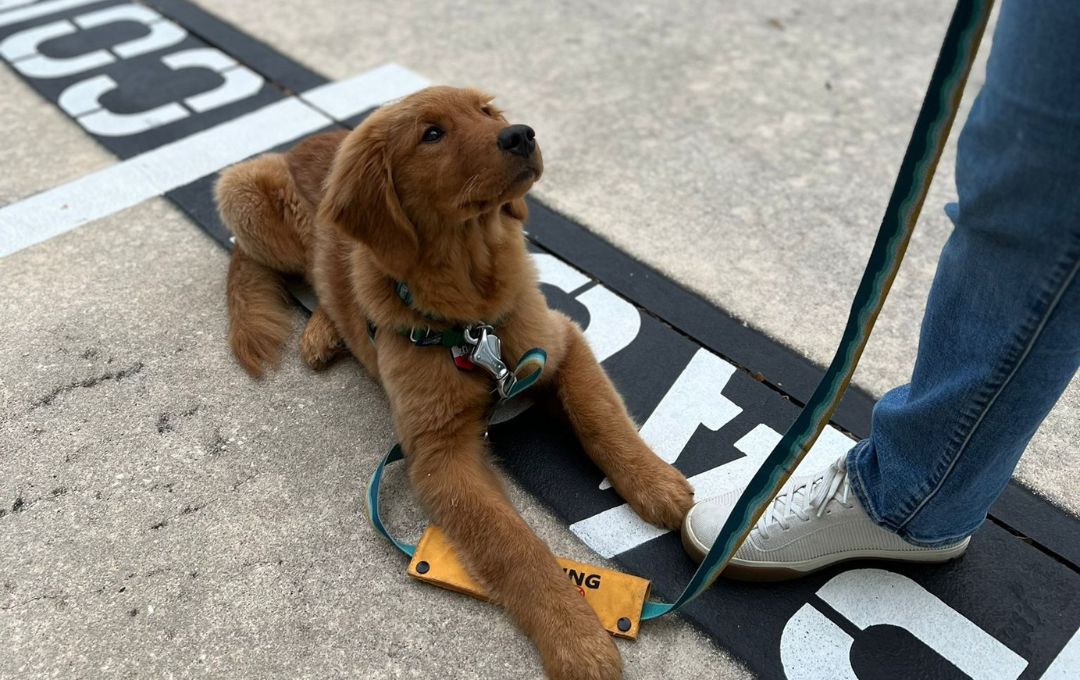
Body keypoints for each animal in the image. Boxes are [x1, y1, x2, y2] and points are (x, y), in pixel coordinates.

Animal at [214, 86, 695, 680]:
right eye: (432, 134)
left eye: (486, 112)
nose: (521, 134)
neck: (473, 316)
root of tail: (302, 143)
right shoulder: (438, 452)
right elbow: (514, 546)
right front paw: (575, 637)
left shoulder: (559, 342)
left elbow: (600, 415)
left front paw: (656, 483)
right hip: (243, 189)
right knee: (301, 267)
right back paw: (323, 329)